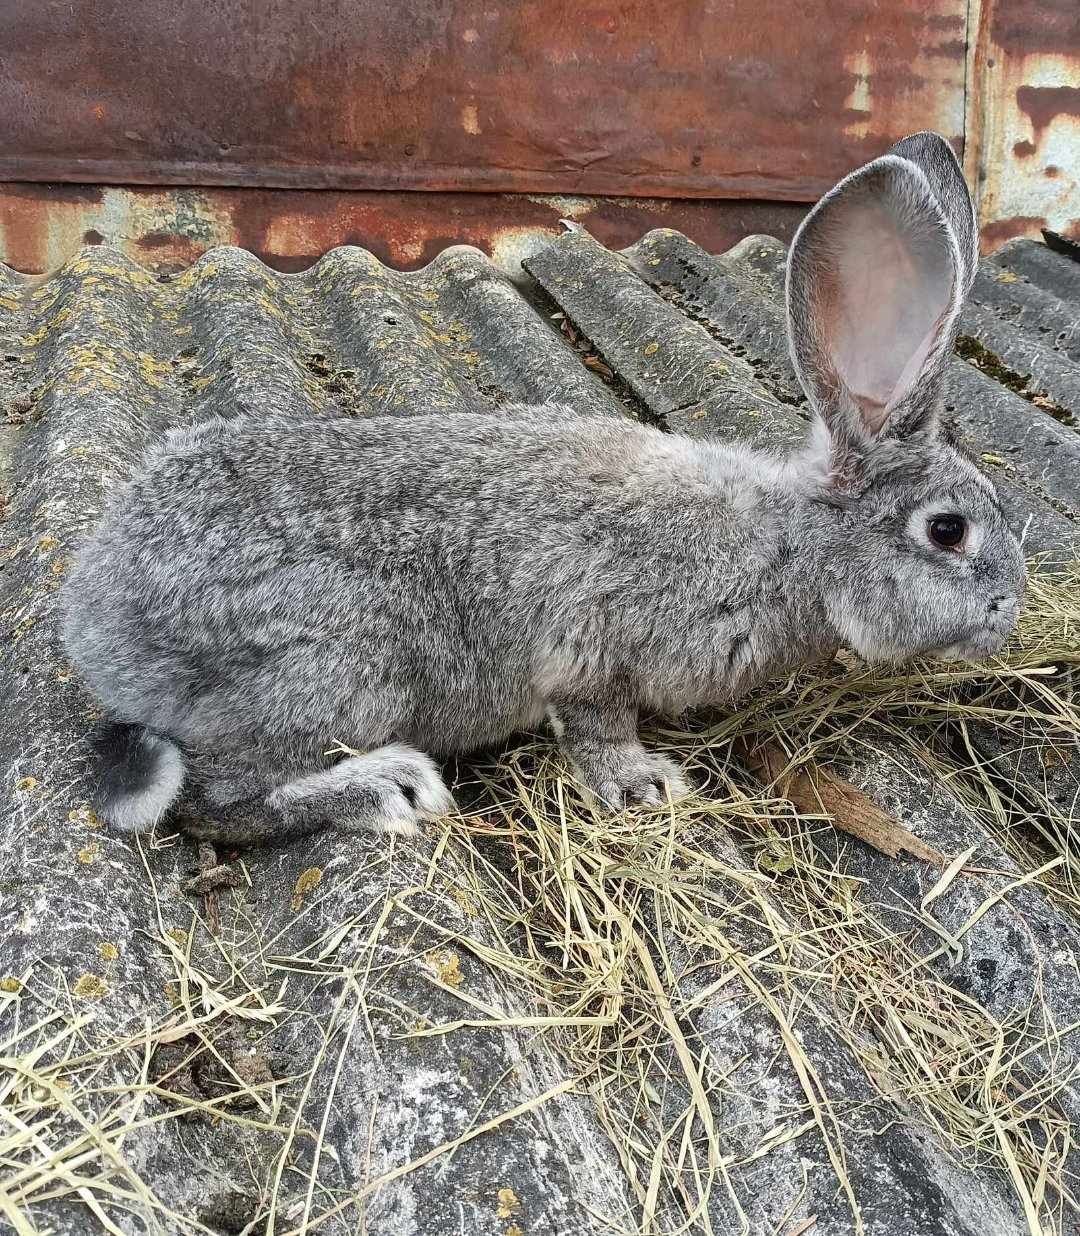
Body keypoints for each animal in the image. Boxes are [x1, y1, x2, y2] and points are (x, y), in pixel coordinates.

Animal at [61, 135, 1028, 845]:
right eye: (948, 531)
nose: (1008, 614)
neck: (790, 540)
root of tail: (96, 623)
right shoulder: (594, 647)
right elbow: (596, 721)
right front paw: (644, 786)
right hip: (333, 664)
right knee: (216, 802)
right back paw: (385, 789)